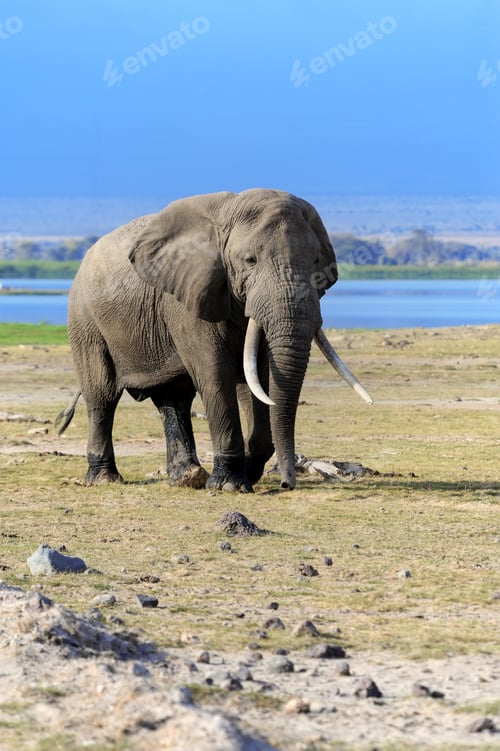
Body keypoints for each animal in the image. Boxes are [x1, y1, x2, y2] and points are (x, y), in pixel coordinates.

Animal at [56, 189, 372, 492]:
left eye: (316, 261)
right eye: (250, 260)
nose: (286, 483)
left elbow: (257, 378)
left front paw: (248, 471)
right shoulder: (187, 299)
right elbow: (216, 375)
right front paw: (231, 485)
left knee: (174, 398)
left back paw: (187, 478)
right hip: (85, 320)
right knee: (102, 395)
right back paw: (105, 479)